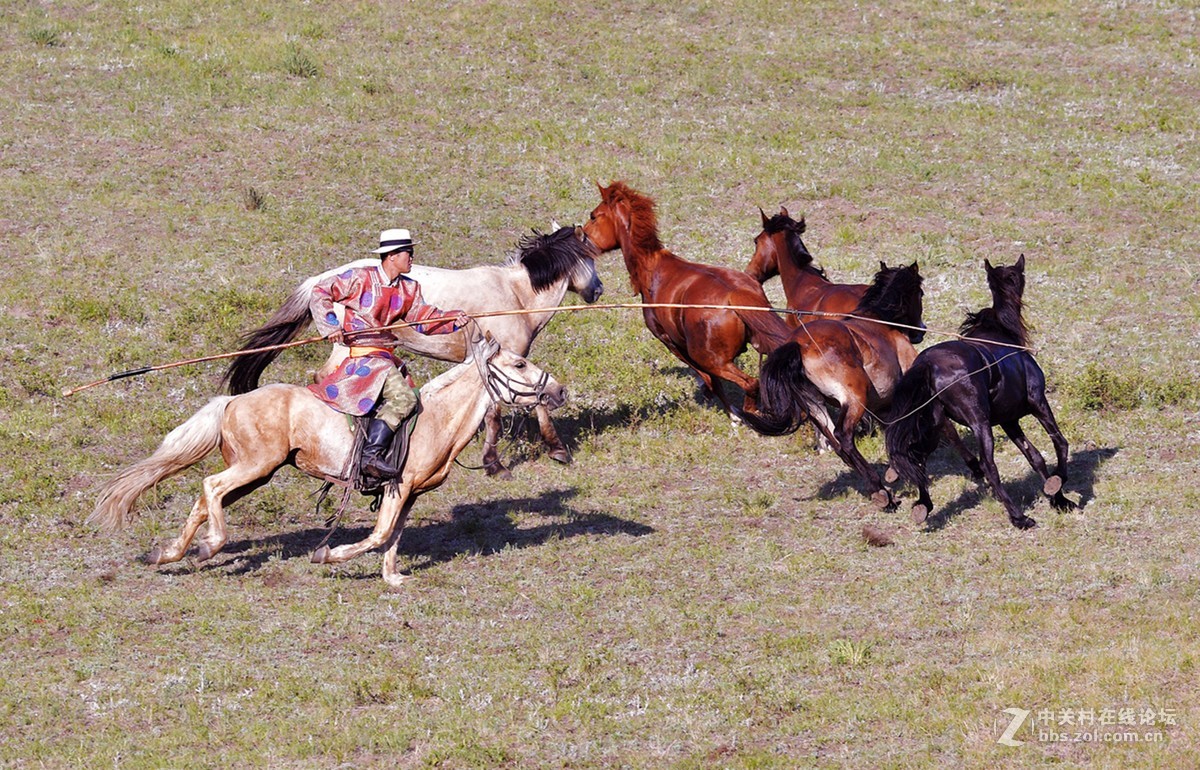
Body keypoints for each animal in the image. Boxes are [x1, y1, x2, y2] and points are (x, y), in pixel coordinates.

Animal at [88, 331, 566, 587]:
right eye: (519, 363)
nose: (559, 390)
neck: (434, 418)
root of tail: (232, 400)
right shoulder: (398, 486)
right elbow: (378, 535)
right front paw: (328, 555)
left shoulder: (408, 493)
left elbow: (393, 536)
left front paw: (393, 578)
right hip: (256, 466)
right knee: (211, 488)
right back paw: (209, 545)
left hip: (255, 473)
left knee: (205, 500)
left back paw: (170, 553)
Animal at [583, 179, 792, 417]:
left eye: (593, 216)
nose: (581, 238)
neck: (652, 270)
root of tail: (735, 294)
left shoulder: (670, 341)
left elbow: (709, 380)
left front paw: (729, 411)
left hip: (712, 359)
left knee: (750, 383)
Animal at [739, 261, 926, 506]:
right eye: (920, 294)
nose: (921, 331)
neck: (879, 321)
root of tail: (798, 346)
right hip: (854, 400)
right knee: (843, 437)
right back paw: (881, 492)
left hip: (815, 405)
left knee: (836, 442)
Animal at [883, 253, 1080, 527]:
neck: (1000, 334)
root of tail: (927, 364)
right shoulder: (1038, 402)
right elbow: (1060, 442)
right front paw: (1058, 483)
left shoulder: (1009, 421)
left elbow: (1034, 456)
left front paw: (1058, 498)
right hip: (980, 423)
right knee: (988, 466)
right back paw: (1019, 517)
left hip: (934, 425)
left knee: (916, 457)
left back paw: (923, 505)